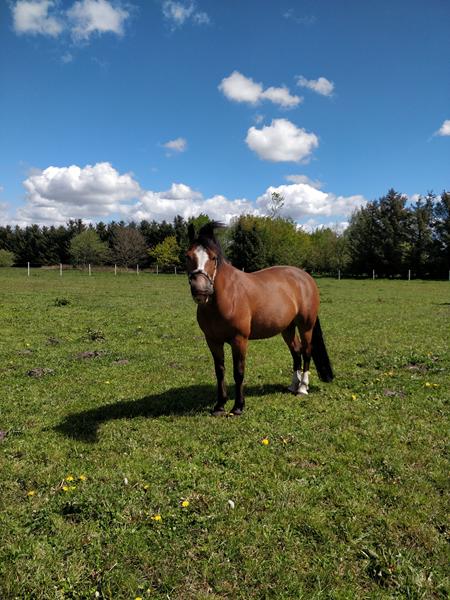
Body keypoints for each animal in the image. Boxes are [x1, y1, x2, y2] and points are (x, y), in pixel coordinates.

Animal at [186, 223, 334, 414]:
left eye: (213, 257)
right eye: (188, 256)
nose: (201, 290)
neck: (227, 297)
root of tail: (305, 277)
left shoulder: (239, 339)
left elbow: (238, 371)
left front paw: (238, 406)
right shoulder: (212, 340)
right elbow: (220, 371)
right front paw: (219, 405)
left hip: (306, 326)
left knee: (307, 351)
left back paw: (302, 388)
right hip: (287, 328)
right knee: (296, 351)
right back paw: (293, 386)